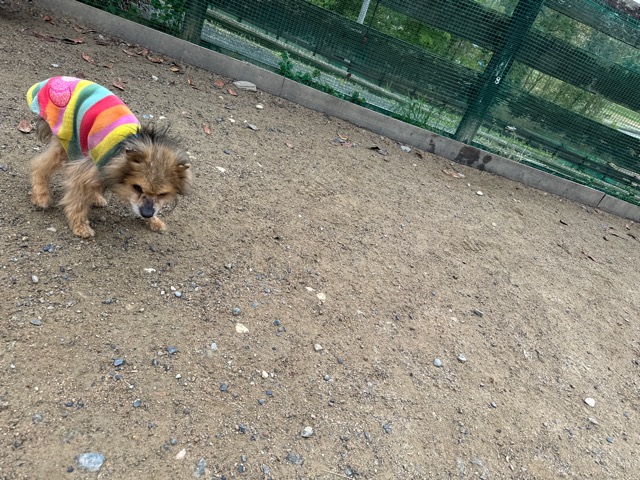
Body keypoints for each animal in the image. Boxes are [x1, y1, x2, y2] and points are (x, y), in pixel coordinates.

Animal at [26, 76, 191, 238]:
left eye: (163, 194)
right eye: (137, 187)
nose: (147, 214)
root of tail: (52, 80)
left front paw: (155, 221)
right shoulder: (88, 169)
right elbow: (77, 201)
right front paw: (80, 226)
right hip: (68, 140)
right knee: (39, 165)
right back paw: (41, 196)